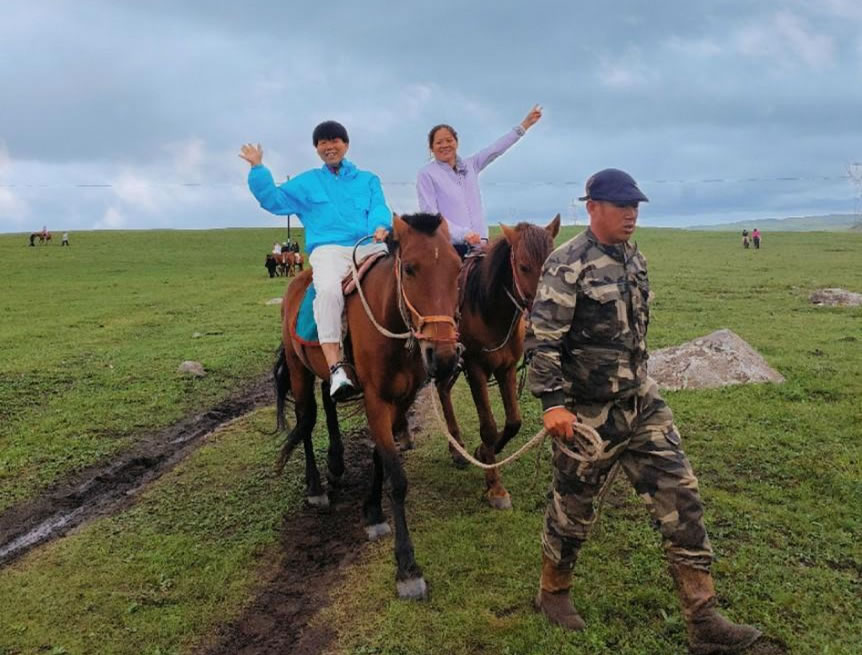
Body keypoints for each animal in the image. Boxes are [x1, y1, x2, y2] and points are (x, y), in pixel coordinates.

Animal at [276, 214, 466, 600]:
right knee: (306, 421)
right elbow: (397, 477)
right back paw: (316, 487)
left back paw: (335, 464)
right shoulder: (377, 400)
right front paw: (407, 567)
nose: (443, 357)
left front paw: (373, 511)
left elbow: (381, 457)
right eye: (410, 268)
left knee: (328, 399)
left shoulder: (401, 400)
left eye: (457, 269)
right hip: (298, 368)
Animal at [438, 213, 560, 510]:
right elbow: (489, 427)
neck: (489, 309)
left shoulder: (507, 368)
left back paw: (457, 448)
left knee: (444, 390)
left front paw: (483, 452)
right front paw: (495, 487)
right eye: (524, 266)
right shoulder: (476, 369)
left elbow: (514, 422)